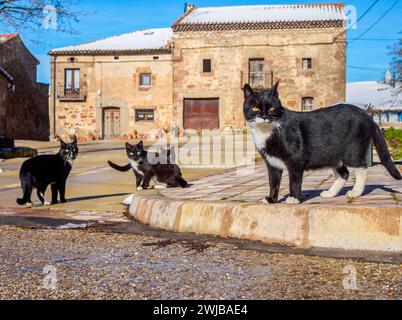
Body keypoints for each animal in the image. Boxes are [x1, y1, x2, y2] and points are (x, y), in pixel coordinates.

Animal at [243, 81, 400, 204]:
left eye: (271, 107)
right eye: (255, 107)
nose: (264, 116)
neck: (267, 131)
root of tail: (367, 116)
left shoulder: (295, 160)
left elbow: (294, 181)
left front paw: (294, 199)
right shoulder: (272, 163)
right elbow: (273, 182)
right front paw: (271, 199)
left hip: (352, 152)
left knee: (361, 170)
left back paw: (355, 192)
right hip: (333, 156)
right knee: (344, 174)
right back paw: (329, 193)